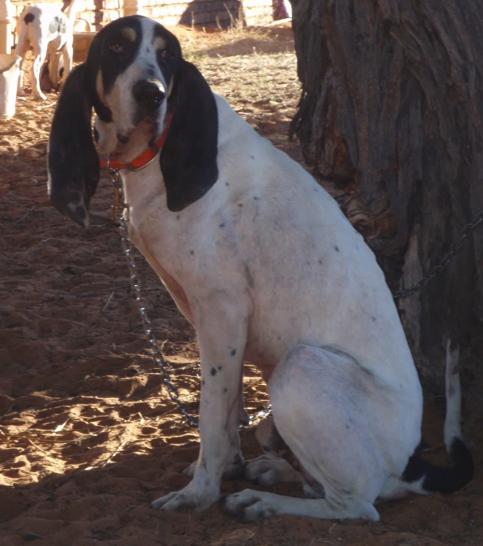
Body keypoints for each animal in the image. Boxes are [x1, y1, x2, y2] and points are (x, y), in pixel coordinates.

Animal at [47, 15, 474, 520]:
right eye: (116, 47)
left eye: (167, 55)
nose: (152, 94)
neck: (158, 154)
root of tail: (411, 463)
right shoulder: (213, 322)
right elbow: (229, 410)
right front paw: (226, 467)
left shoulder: (222, 311)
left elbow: (211, 417)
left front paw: (200, 492)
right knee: (313, 477)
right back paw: (275, 472)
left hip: (300, 368)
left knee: (356, 506)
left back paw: (264, 501)